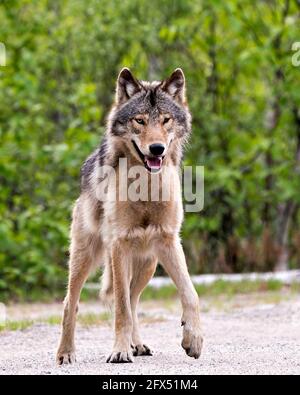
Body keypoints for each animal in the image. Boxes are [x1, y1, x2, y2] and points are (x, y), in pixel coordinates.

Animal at [56, 67, 202, 366]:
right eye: (140, 121)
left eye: (166, 120)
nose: (157, 148)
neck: (145, 187)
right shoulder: (119, 245)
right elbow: (120, 308)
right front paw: (119, 351)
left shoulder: (169, 241)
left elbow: (190, 293)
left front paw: (193, 339)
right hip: (86, 257)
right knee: (72, 302)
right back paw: (66, 353)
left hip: (148, 263)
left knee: (134, 300)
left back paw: (138, 345)